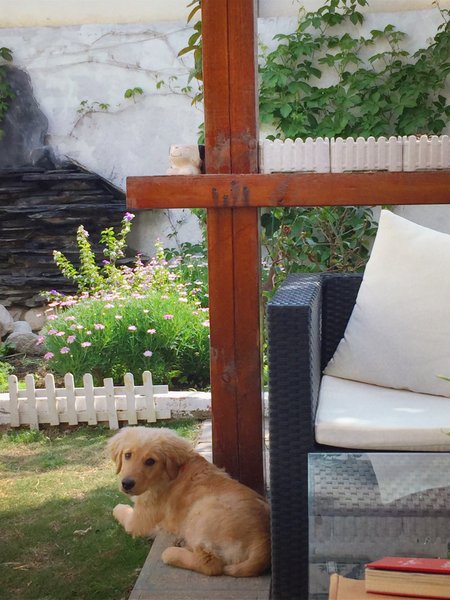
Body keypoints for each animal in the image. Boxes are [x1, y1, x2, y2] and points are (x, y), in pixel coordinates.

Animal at [108, 426, 270, 577]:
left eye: (150, 461)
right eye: (127, 455)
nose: (126, 484)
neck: (167, 475)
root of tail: (262, 540)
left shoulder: (137, 521)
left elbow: (120, 511)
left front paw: (117, 507)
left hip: (200, 513)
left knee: (209, 564)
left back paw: (172, 553)